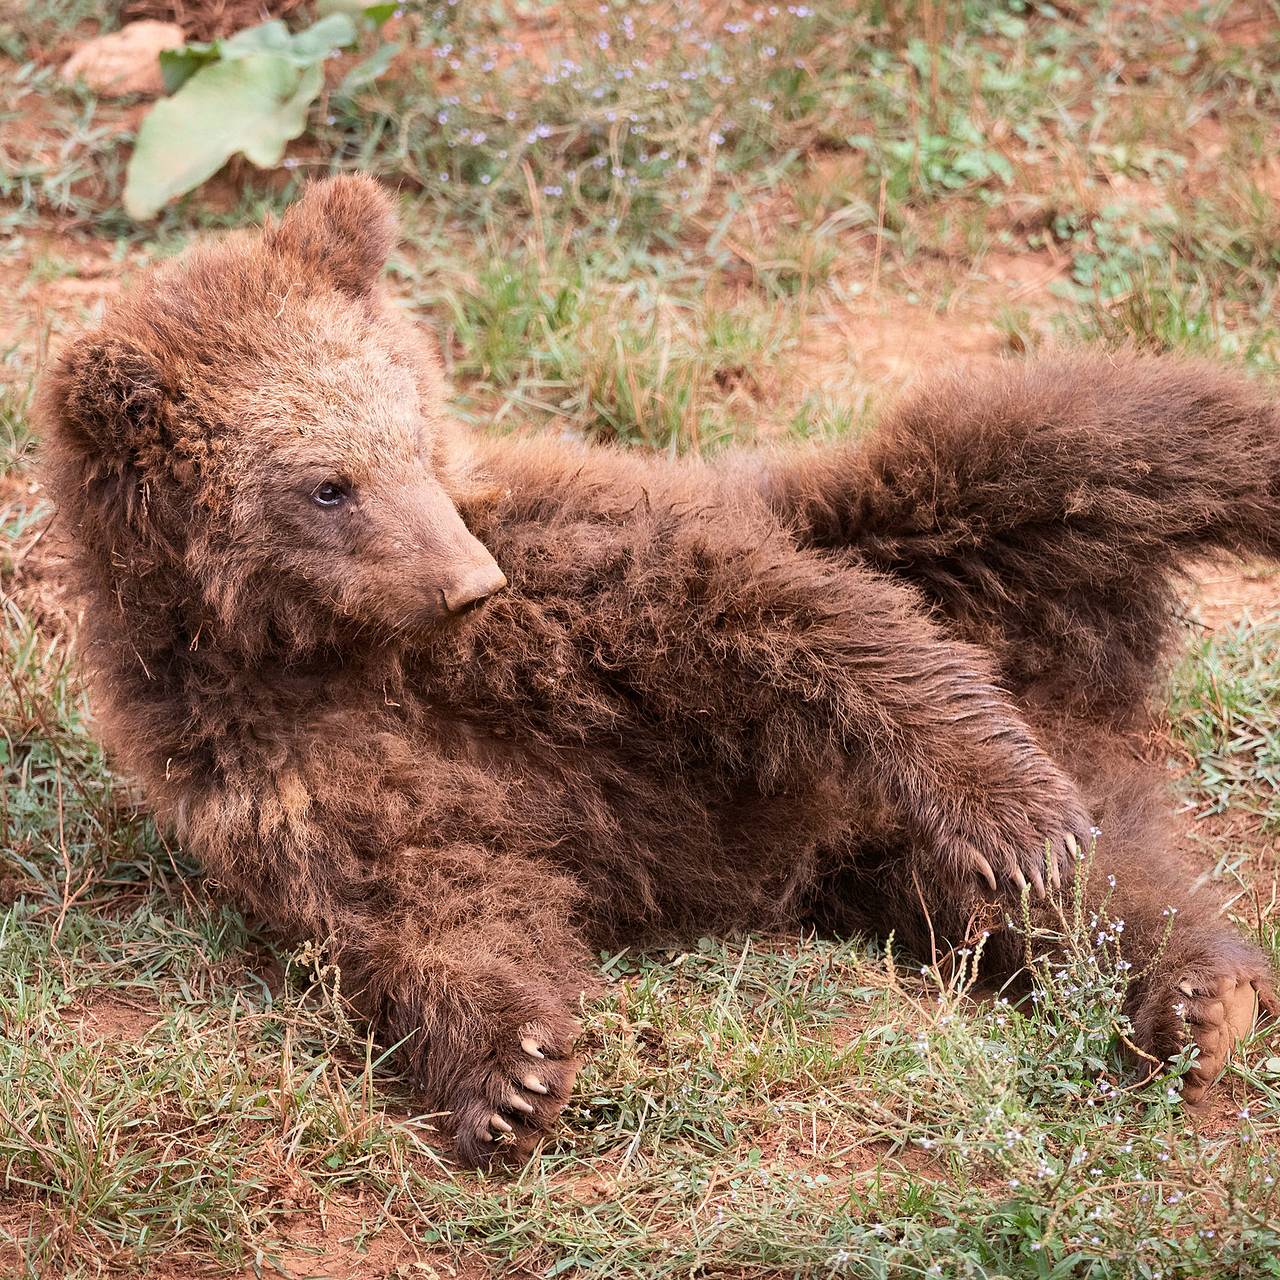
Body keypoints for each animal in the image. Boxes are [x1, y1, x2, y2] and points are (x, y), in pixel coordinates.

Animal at [37, 175, 1280, 1167]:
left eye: (406, 425)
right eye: (326, 484)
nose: (465, 579)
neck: (339, 650)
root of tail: (1088, 672)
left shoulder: (584, 580)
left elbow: (785, 618)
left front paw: (1009, 807)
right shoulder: (274, 761)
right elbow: (429, 899)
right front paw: (509, 1074)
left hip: (935, 507)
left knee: (1104, 435)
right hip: (901, 848)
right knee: (1101, 884)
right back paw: (1193, 999)